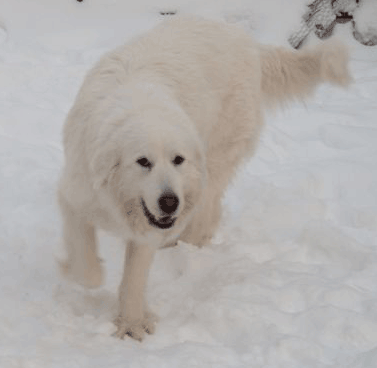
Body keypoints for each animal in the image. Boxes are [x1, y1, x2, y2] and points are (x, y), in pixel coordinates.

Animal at [58, 16, 350, 340]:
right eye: (143, 162)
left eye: (178, 159)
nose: (170, 202)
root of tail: (249, 43)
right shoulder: (76, 195)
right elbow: (84, 260)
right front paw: (81, 271)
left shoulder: (150, 222)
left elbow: (134, 276)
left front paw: (133, 323)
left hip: (215, 156)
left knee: (207, 211)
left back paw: (186, 241)